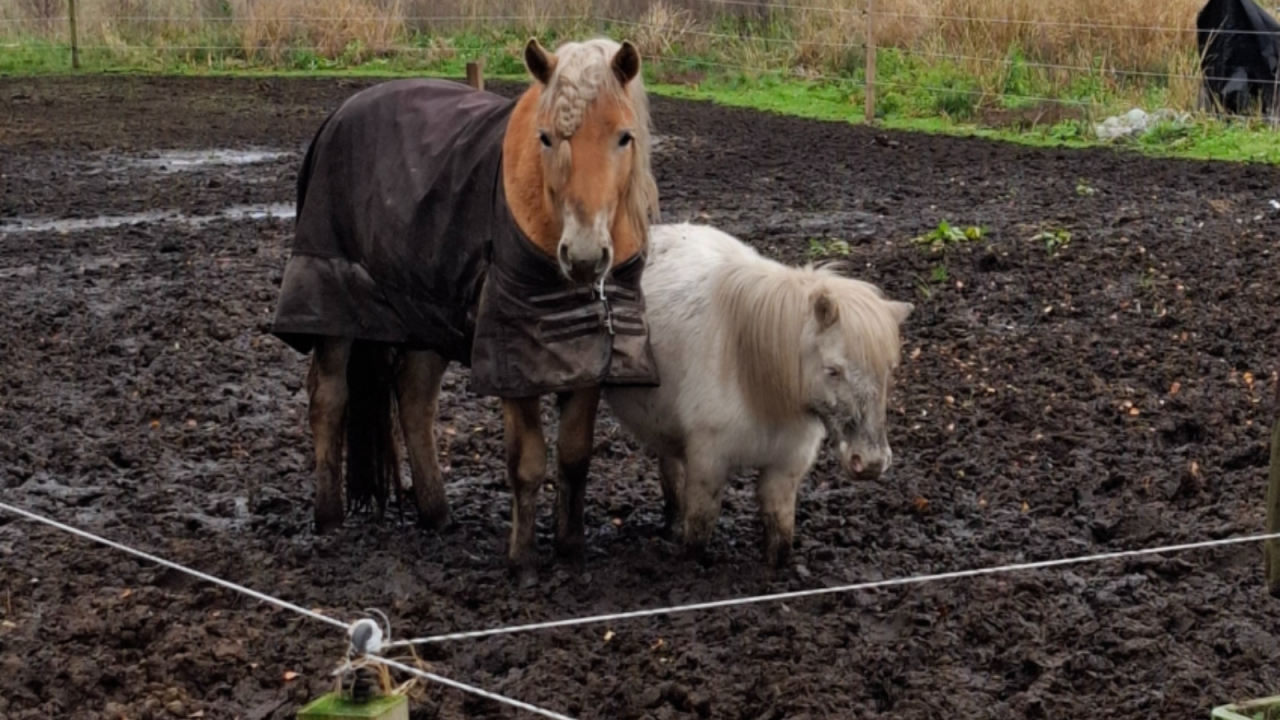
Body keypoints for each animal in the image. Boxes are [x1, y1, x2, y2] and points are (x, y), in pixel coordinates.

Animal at [268, 37, 662, 585]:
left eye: (625, 137)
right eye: (545, 138)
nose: (584, 257)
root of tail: (340, 114)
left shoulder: (589, 356)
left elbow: (574, 456)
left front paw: (571, 549)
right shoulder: (511, 357)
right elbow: (529, 461)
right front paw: (524, 562)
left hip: (425, 313)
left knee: (414, 399)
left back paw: (437, 515)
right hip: (331, 302)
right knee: (328, 399)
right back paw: (329, 520)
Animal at [602, 222, 913, 568]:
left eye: (888, 369)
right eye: (833, 370)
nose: (870, 462)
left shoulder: (784, 470)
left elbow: (779, 532)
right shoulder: (709, 464)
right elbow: (700, 528)